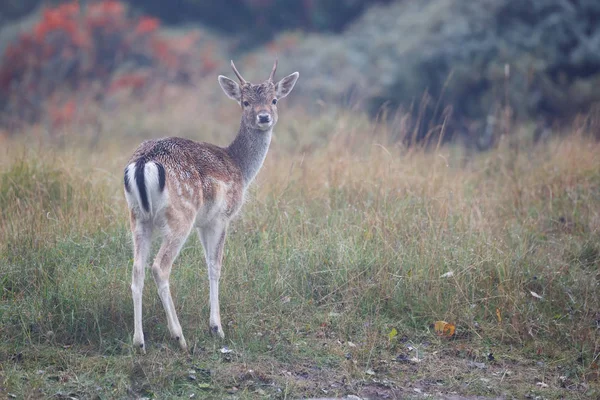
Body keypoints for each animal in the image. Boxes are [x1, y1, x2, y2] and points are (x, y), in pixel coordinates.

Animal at [123, 60, 298, 354]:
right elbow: (215, 266)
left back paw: (139, 341)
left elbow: (208, 264)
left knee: (137, 269)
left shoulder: (204, 223)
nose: (264, 117)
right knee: (159, 266)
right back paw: (179, 336)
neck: (240, 167)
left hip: (138, 218)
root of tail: (144, 163)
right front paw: (217, 328)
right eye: (245, 102)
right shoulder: (220, 217)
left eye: (274, 100)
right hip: (180, 216)